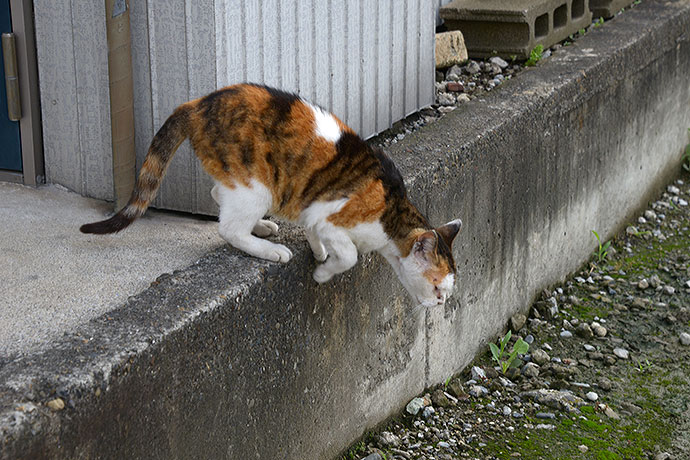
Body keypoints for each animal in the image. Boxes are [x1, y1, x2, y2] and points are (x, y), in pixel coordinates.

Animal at [83, 83, 462, 306]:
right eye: (438, 287)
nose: (441, 307)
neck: (392, 215)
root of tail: (196, 104)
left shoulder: (313, 210)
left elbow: (314, 231)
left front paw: (318, 252)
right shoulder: (333, 219)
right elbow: (349, 256)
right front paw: (323, 273)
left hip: (244, 184)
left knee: (219, 193)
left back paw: (262, 227)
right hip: (256, 186)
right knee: (229, 229)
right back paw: (270, 249)